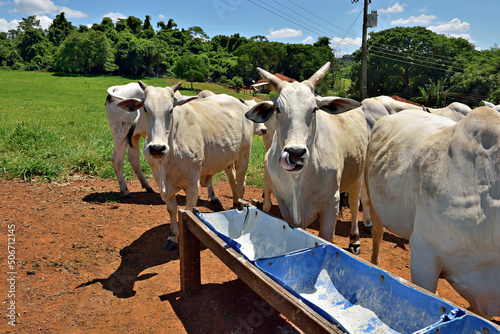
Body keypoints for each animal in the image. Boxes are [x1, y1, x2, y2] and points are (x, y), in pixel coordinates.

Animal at [114, 82, 252, 249]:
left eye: (170, 109)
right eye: (145, 108)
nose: (157, 148)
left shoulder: (193, 183)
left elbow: (189, 211)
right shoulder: (163, 185)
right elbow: (172, 210)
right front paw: (173, 237)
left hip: (244, 154)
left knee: (241, 182)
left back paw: (239, 208)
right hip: (228, 160)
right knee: (233, 180)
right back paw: (234, 203)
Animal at [246, 62, 368, 253]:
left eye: (314, 109)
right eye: (278, 109)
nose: (295, 153)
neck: (299, 179)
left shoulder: (331, 204)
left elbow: (326, 238)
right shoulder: (284, 203)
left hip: (359, 174)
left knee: (355, 203)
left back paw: (355, 240)